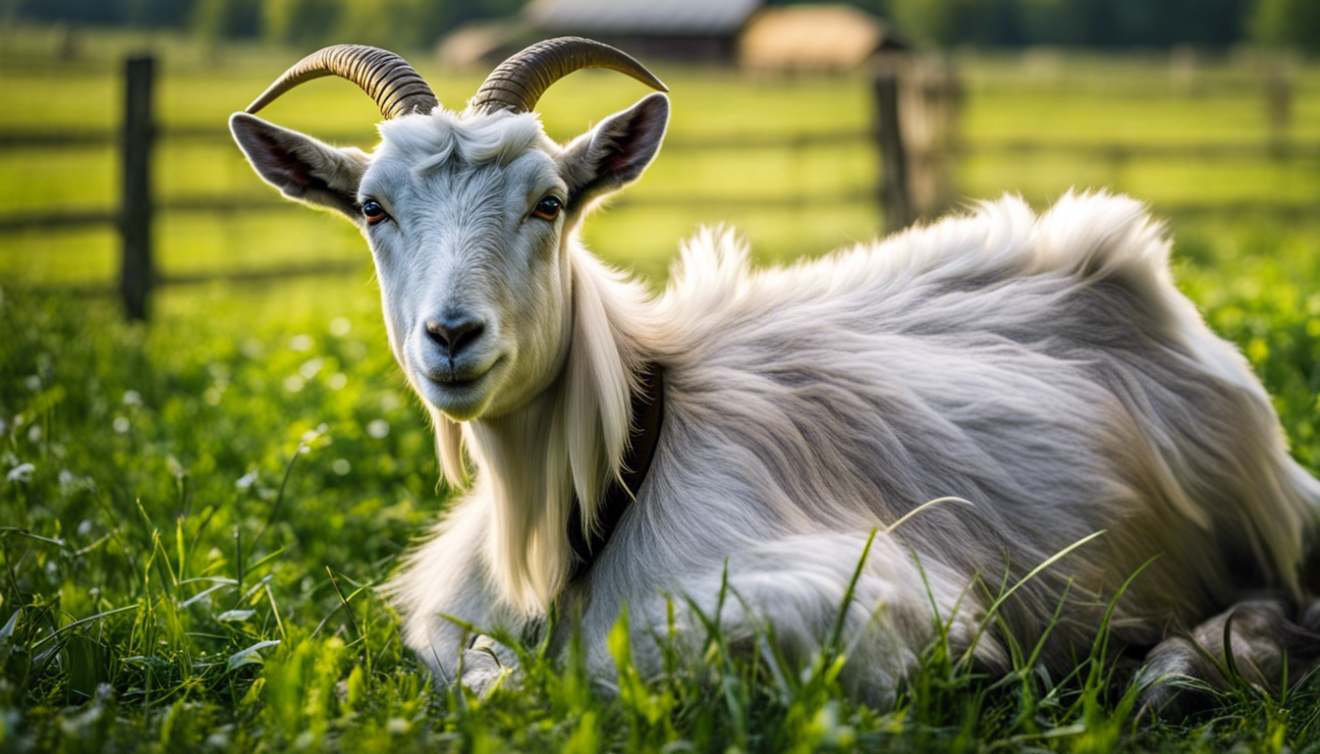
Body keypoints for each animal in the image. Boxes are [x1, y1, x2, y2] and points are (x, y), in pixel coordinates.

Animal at [230, 38, 1320, 715]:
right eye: (373, 208)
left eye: (549, 202)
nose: (453, 336)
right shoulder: (453, 624)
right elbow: (484, 672)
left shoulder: (854, 594)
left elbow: (620, 665)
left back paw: (1180, 668)